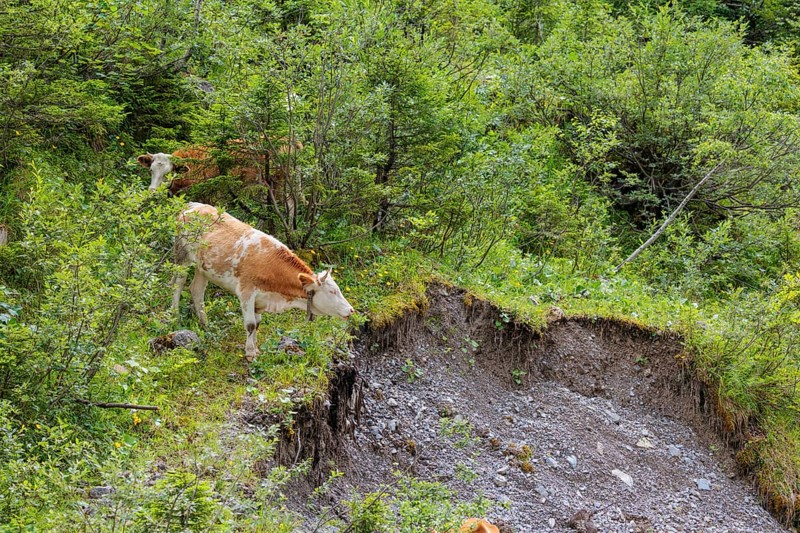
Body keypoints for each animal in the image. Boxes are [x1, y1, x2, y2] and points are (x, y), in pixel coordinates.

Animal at [173, 202, 354, 361]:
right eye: (332, 291)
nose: (351, 310)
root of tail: (193, 205)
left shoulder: (261, 299)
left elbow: (258, 323)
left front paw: (256, 349)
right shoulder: (246, 292)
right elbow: (250, 324)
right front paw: (250, 353)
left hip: (203, 267)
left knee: (196, 290)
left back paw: (205, 324)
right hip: (182, 255)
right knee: (178, 283)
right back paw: (173, 315)